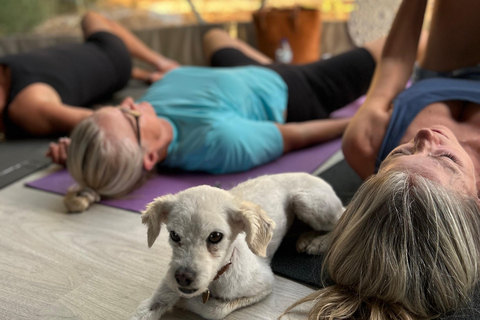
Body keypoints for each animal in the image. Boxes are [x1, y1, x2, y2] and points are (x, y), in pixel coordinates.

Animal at [130, 172, 342, 320]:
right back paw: (305, 238)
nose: (182, 277)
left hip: (306, 201)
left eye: (215, 236)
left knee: (340, 220)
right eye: (174, 235)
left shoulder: (264, 284)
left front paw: (186, 303)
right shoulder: (162, 291)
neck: (216, 278)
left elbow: (215, 310)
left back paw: (318, 242)